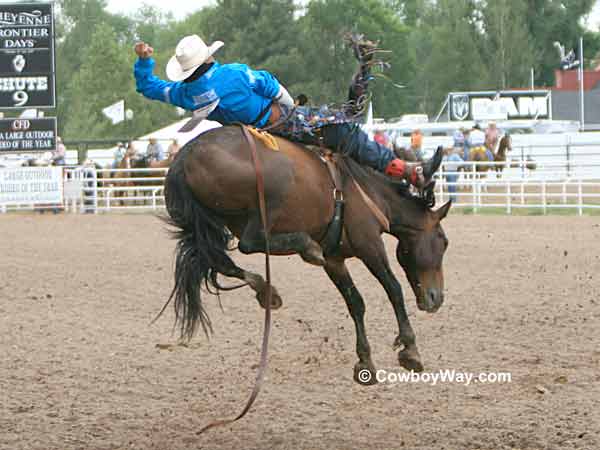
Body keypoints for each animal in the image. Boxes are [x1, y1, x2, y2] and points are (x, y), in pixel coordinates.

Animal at [163, 125, 450, 384]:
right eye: (443, 241)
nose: (436, 299)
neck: (369, 191)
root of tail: (185, 155)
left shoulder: (334, 259)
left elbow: (355, 302)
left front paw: (365, 362)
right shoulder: (369, 244)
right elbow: (393, 289)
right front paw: (410, 351)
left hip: (208, 221)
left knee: (218, 260)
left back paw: (267, 290)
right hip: (268, 198)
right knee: (249, 242)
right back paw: (306, 248)